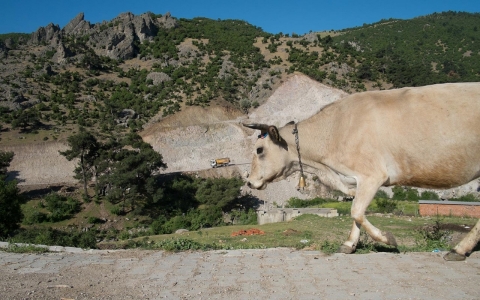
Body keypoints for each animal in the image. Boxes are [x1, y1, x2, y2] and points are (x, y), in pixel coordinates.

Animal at [244, 82, 480, 260]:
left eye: (259, 149)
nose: (249, 181)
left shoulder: (372, 175)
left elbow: (356, 211)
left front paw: (387, 239)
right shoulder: (356, 179)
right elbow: (356, 212)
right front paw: (349, 244)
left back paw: (459, 249)